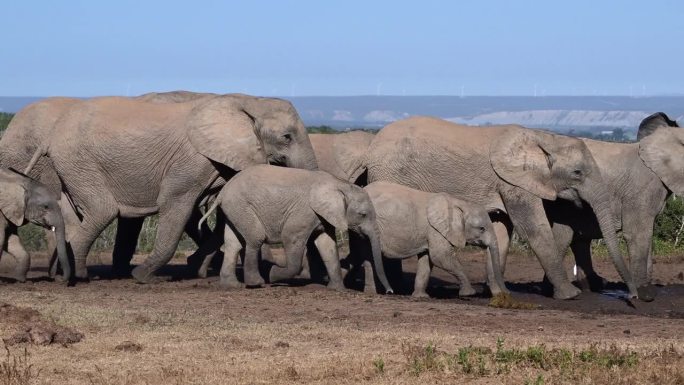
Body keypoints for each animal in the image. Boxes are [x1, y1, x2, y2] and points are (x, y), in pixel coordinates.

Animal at [36, 93, 316, 282]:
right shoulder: (190, 161)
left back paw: (66, 274)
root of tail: (51, 136)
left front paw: (196, 268)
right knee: (103, 210)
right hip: (79, 161)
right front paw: (144, 276)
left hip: (70, 168)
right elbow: (176, 205)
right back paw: (80, 276)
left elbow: (223, 214)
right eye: (287, 137)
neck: (248, 100)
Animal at [198, 164, 392, 292]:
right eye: (363, 215)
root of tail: (223, 191)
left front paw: (337, 290)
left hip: (234, 209)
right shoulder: (304, 212)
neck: (339, 184)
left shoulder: (323, 216)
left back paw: (232, 285)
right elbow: (291, 238)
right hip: (241, 205)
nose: (389, 292)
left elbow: (327, 245)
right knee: (255, 238)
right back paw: (257, 283)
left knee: (233, 243)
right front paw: (273, 275)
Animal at [352, 181, 508, 296]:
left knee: (368, 257)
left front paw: (421, 297)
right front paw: (469, 294)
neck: (459, 203)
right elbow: (440, 257)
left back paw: (371, 293)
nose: (506, 293)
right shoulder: (435, 230)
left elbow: (427, 260)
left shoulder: (431, 232)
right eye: (482, 229)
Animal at [548, 112, 680, 294]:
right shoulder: (640, 190)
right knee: (563, 238)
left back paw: (592, 286)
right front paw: (643, 291)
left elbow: (648, 233)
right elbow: (637, 233)